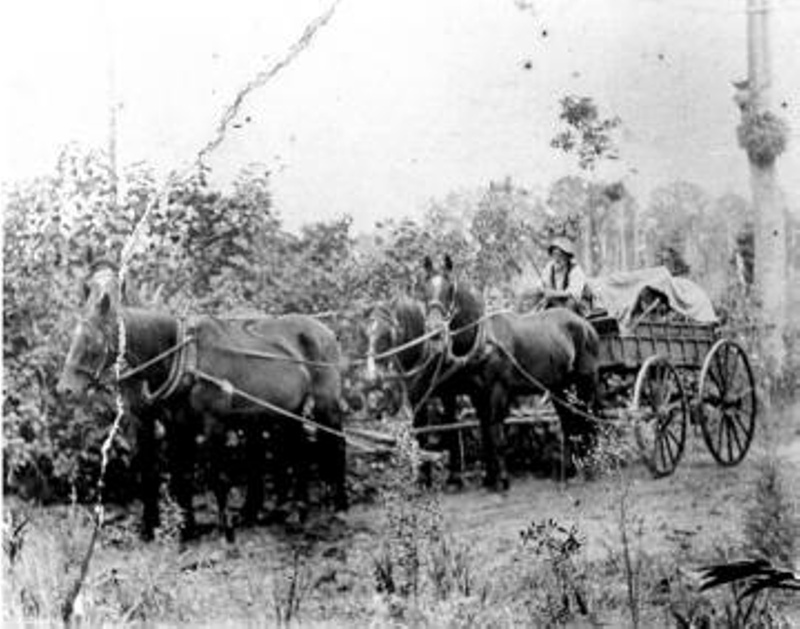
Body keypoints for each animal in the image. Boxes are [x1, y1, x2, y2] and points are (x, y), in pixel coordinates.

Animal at [59, 264, 346, 540]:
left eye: (92, 342)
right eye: (73, 338)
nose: (64, 389)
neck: (185, 356)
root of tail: (324, 330)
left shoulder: (213, 423)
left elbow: (217, 476)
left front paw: (226, 533)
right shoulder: (174, 425)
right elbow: (178, 475)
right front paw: (183, 530)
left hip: (325, 404)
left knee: (335, 441)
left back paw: (338, 506)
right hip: (286, 412)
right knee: (295, 451)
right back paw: (293, 510)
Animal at [418, 253, 600, 488]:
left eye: (450, 289)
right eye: (425, 288)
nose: (434, 331)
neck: (484, 340)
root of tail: (585, 325)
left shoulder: (498, 390)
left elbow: (497, 434)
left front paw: (503, 480)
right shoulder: (478, 394)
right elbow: (486, 432)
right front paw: (489, 479)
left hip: (586, 380)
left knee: (589, 416)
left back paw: (591, 466)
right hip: (560, 387)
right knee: (568, 421)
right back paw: (569, 471)